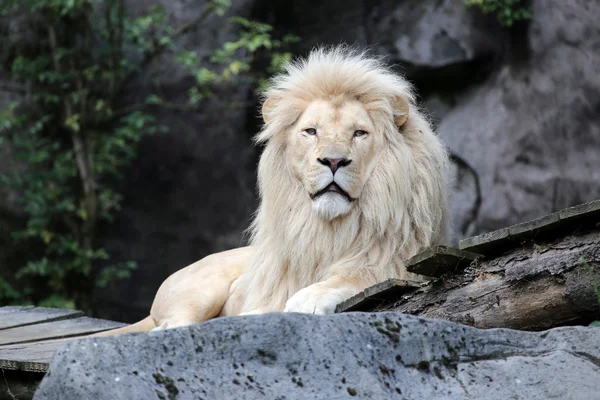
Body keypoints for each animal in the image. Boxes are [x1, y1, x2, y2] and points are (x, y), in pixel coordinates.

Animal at [95, 45, 450, 336]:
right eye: (311, 131)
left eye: (359, 133)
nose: (333, 160)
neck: (328, 228)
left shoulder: (395, 261)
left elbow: (353, 276)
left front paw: (308, 298)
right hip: (201, 289)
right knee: (171, 326)